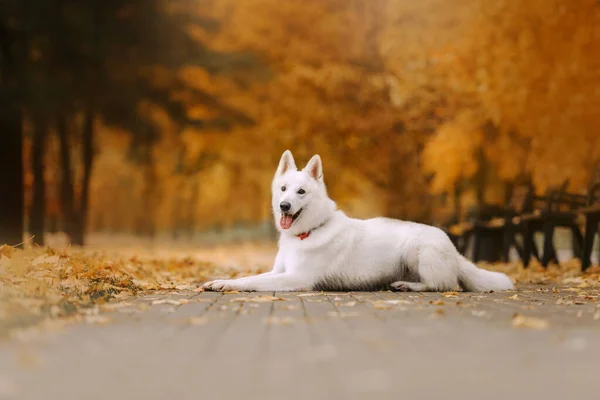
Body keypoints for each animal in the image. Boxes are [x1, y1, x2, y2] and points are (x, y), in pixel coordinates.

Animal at [204, 152, 512, 292]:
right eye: (283, 189)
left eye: (301, 192)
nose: (284, 206)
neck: (311, 231)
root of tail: (454, 249)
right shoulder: (279, 271)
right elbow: (252, 276)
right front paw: (221, 280)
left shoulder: (296, 278)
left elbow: (252, 281)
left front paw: (226, 285)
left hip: (417, 250)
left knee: (443, 285)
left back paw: (407, 286)